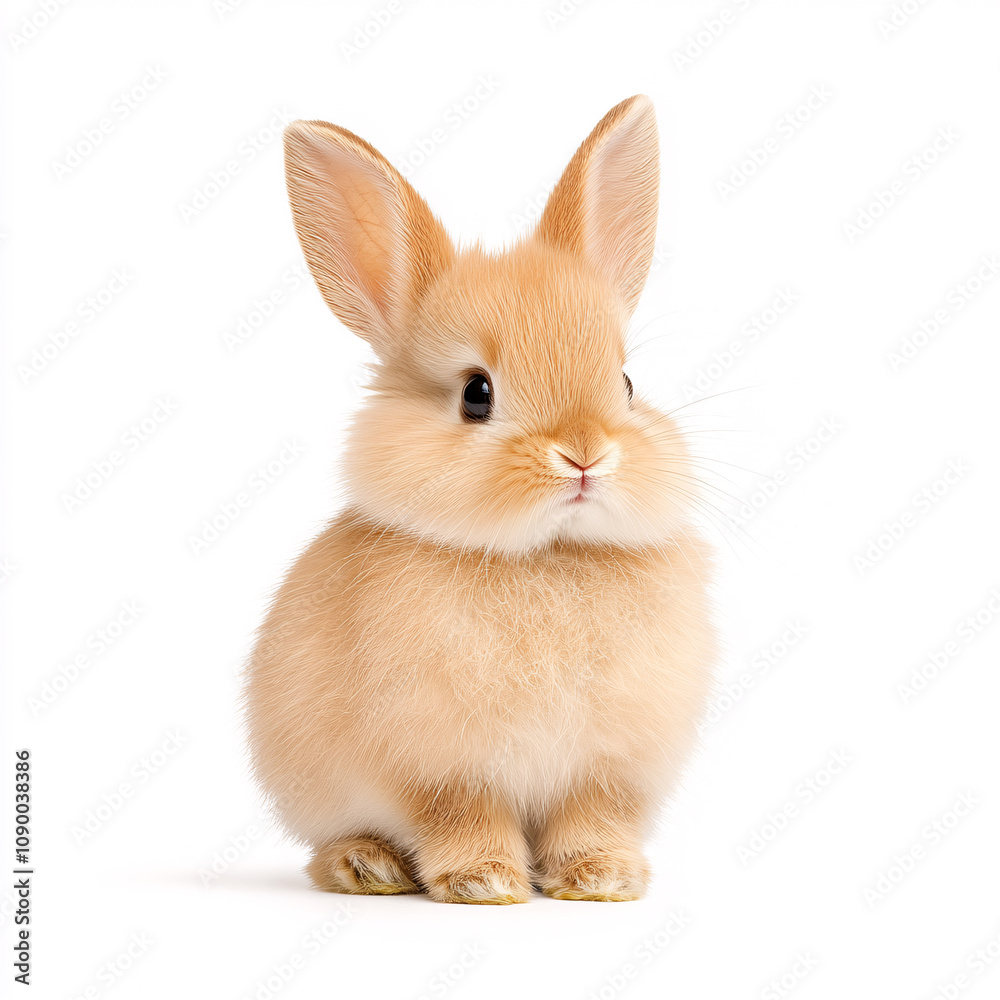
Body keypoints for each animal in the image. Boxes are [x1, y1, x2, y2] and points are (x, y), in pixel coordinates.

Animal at [244, 95, 717, 904]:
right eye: (476, 394)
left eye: (626, 383)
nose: (585, 454)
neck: (547, 557)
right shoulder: (440, 765)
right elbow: (460, 815)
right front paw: (485, 882)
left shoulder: (607, 770)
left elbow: (592, 818)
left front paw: (601, 878)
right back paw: (364, 865)